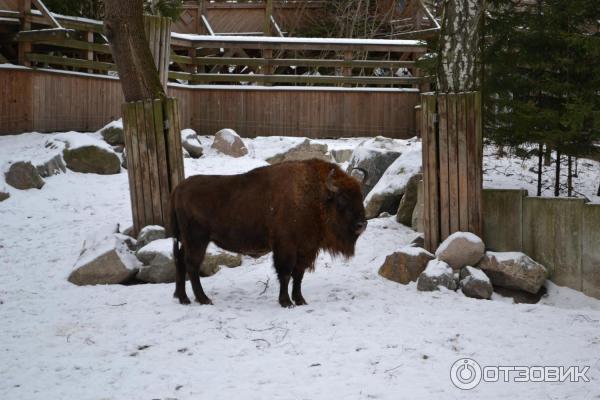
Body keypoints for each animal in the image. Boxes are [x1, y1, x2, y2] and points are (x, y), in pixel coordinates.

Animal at [169, 158, 366, 308]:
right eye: (342, 200)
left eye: (360, 196)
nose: (361, 224)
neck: (315, 195)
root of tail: (178, 189)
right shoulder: (285, 247)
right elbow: (285, 273)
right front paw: (286, 302)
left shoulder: (305, 249)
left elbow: (298, 275)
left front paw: (300, 300)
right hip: (197, 240)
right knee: (192, 265)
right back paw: (204, 299)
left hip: (187, 240)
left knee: (180, 261)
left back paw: (182, 298)